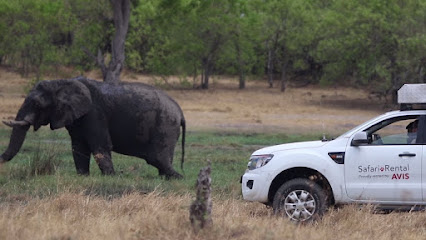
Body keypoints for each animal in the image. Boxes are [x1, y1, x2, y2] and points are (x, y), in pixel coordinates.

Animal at [0, 76, 186, 179]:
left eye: (38, 104)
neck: (61, 82)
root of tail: (180, 111)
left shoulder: (94, 113)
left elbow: (100, 145)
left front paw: (111, 177)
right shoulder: (76, 117)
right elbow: (78, 147)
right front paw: (83, 176)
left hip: (165, 124)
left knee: (156, 158)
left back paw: (177, 177)